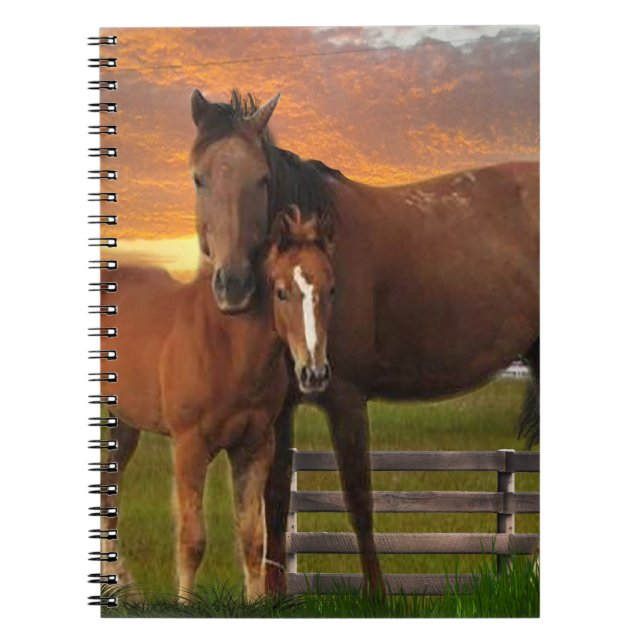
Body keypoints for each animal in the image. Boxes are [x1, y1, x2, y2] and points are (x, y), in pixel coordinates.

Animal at [100, 206, 335, 598]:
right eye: (282, 292)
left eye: (331, 289)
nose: (314, 373)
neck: (228, 347)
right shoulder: (189, 445)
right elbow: (192, 539)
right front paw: (185, 604)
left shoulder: (254, 446)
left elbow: (253, 539)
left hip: (123, 424)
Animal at [189, 89, 540, 594]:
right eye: (199, 178)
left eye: (261, 179)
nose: (233, 285)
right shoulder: (282, 408)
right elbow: (275, 501)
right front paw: (274, 597)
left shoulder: (346, 397)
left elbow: (358, 501)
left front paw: (378, 596)